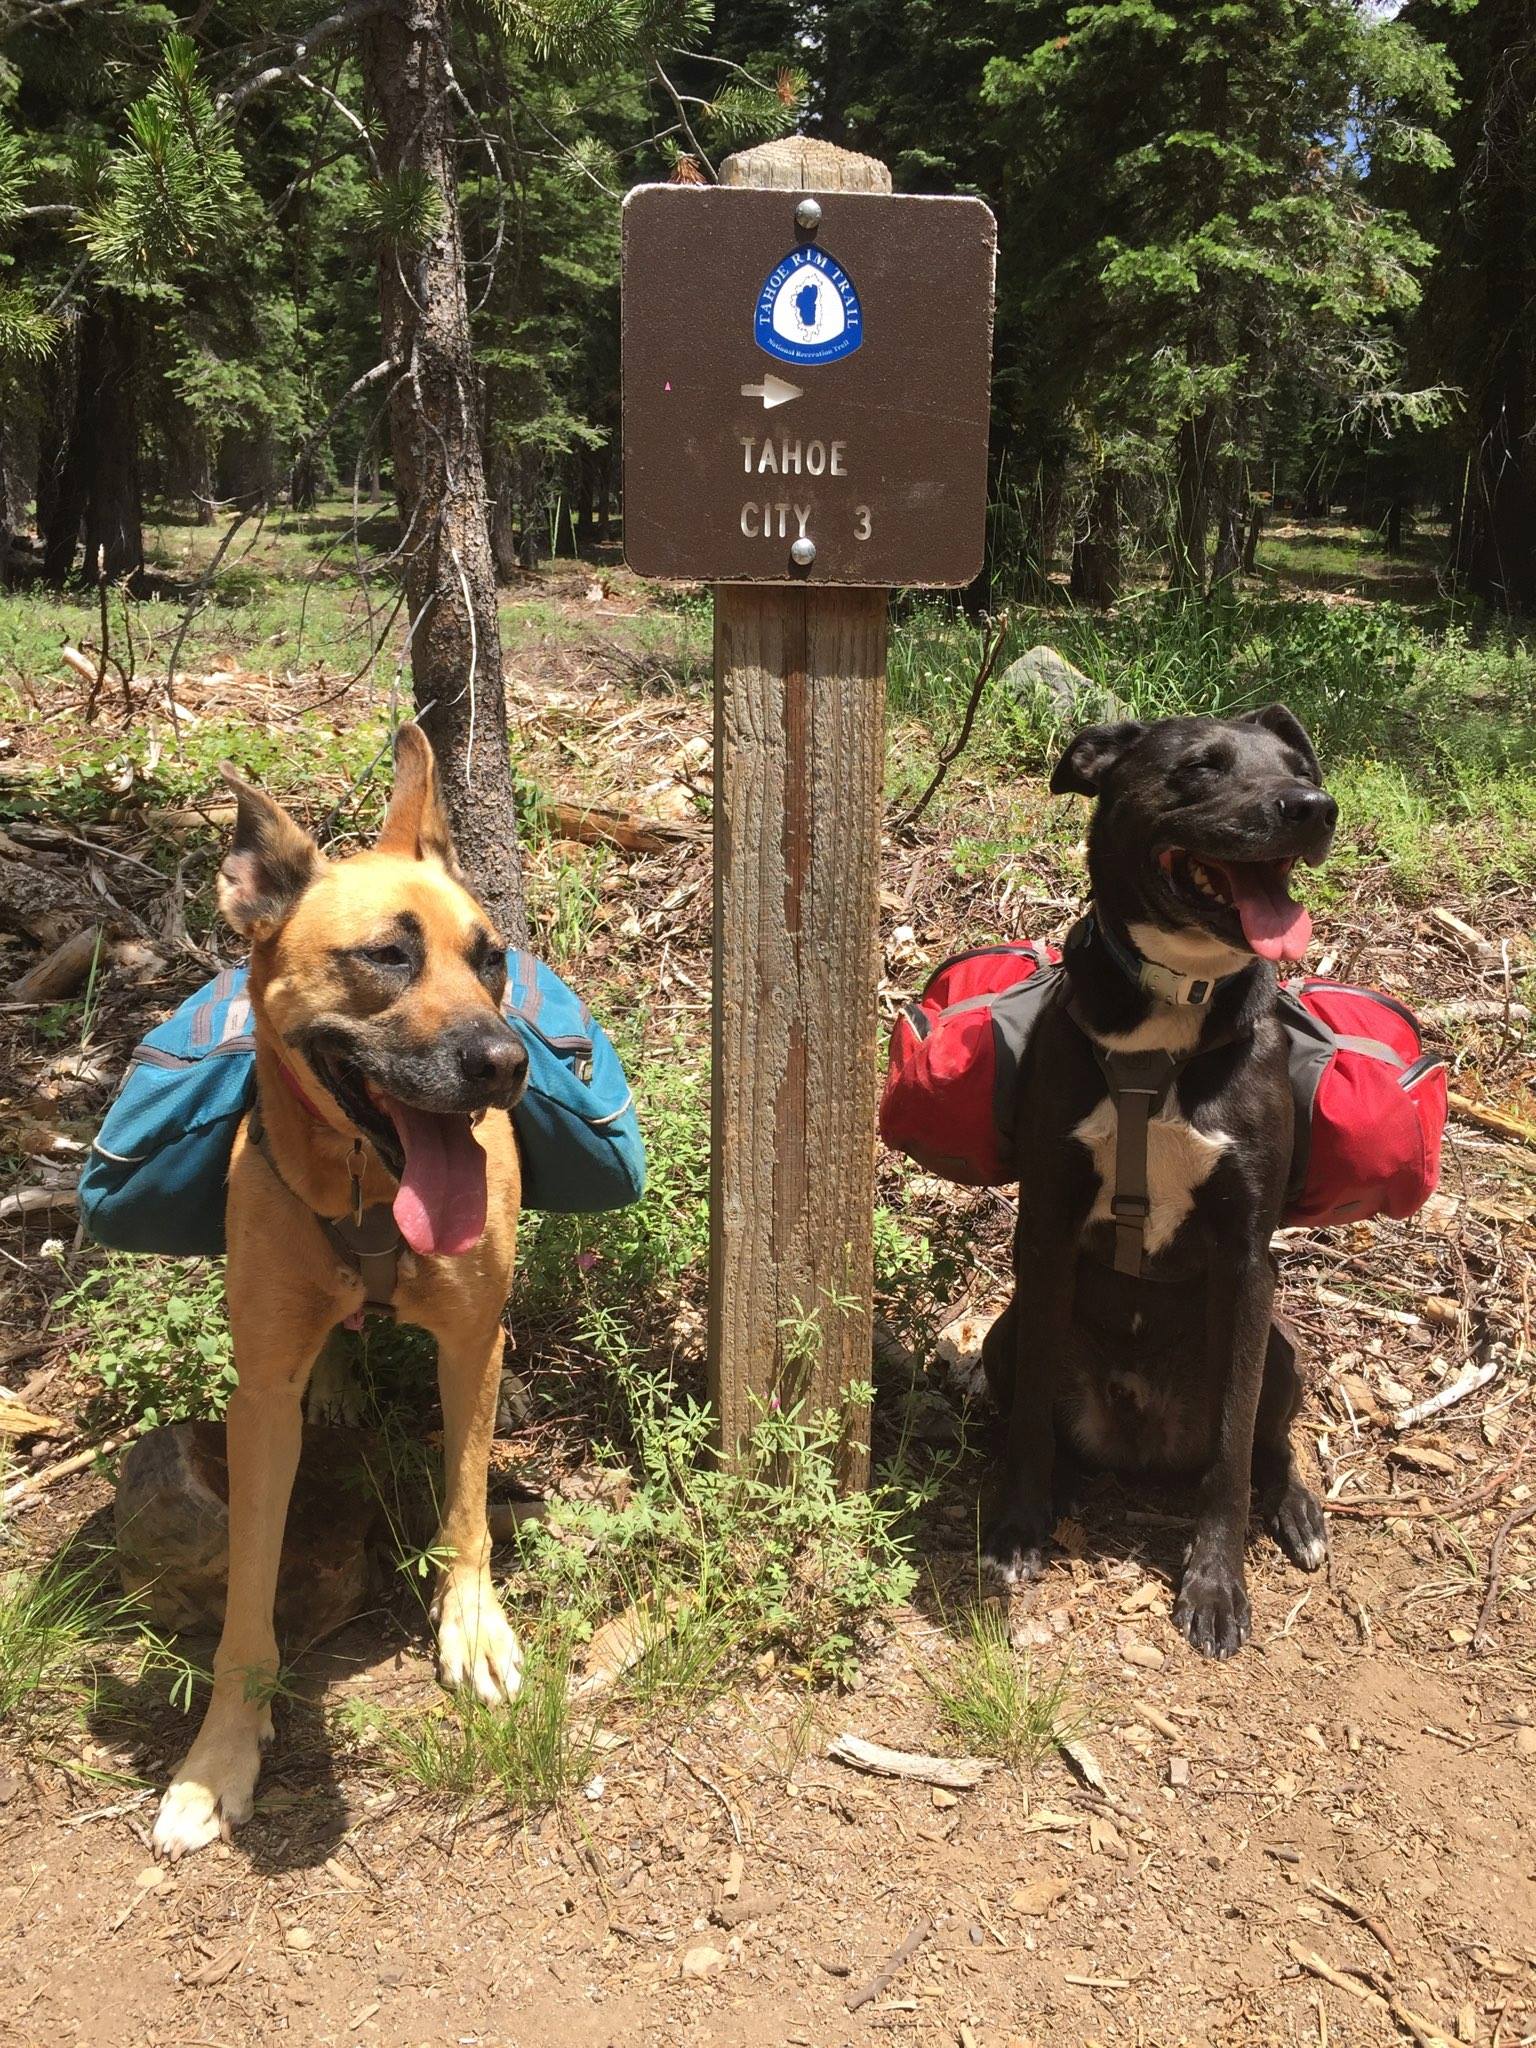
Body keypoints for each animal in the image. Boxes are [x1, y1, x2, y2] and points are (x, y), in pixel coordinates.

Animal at [154, 729, 532, 1867]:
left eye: (490, 956)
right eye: (386, 955)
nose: (507, 1063)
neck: (369, 1190)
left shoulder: (472, 1340)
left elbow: (467, 1503)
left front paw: (470, 1623)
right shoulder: (260, 1397)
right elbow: (245, 1593)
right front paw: (219, 1753)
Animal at [987, 700, 1335, 1646]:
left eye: (1300, 764)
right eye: (1201, 768)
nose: (1314, 808)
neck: (1176, 1003)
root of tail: (1142, 1438)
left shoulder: (1249, 1256)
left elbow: (1231, 1452)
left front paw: (1216, 1583)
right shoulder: (1046, 1227)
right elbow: (1028, 1419)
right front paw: (1018, 1526)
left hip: (1281, 1351)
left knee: (1266, 1443)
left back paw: (1295, 1509)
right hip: (1003, 1337)